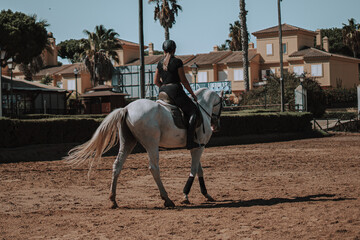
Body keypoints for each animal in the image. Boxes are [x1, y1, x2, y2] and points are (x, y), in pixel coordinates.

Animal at [64, 87, 222, 208]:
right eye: (221, 105)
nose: (216, 125)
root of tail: (126, 108)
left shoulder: (196, 148)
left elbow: (199, 169)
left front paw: (206, 194)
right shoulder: (199, 147)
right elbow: (194, 170)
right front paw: (185, 195)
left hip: (128, 142)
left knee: (117, 165)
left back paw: (113, 199)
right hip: (151, 143)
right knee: (154, 168)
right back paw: (167, 199)